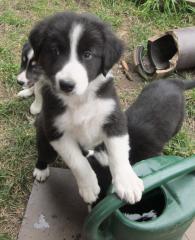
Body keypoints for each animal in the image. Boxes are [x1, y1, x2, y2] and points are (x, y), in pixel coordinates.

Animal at [29, 11, 144, 204]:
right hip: (43, 135)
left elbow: (119, 152)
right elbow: (78, 162)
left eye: (88, 54)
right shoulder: (56, 131)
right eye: (55, 51)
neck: (80, 100)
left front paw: (128, 183)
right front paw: (89, 188)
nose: (66, 85)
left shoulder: (114, 118)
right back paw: (41, 170)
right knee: (44, 154)